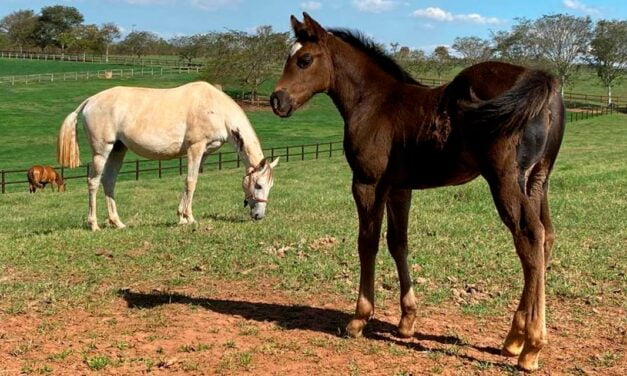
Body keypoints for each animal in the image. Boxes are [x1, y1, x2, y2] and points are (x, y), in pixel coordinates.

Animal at [58, 81, 280, 231]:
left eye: (270, 186)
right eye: (258, 185)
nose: (259, 216)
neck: (216, 109)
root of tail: (90, 101)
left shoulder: (203, 152)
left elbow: (189, 181)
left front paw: (181, 217)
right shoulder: (195, 148)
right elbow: (191, 182)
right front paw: (189, 218)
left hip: (118, 149)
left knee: (109, 181)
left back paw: (117, 223)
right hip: (101, 151)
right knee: (93, 182)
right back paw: (94, 224)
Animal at [272, 13, 568, 372]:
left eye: (304, 60)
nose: (277, 100)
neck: (373, 101)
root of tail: (542, 83)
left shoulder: (367, 182)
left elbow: (367, 243)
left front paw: (359, 318)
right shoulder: (399, 187)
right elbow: (398, 243)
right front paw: (407, 320)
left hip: (507, 180)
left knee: (529, 236)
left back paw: (531, 348)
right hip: (538, 181)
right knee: (546, 236)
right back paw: (514, 338)